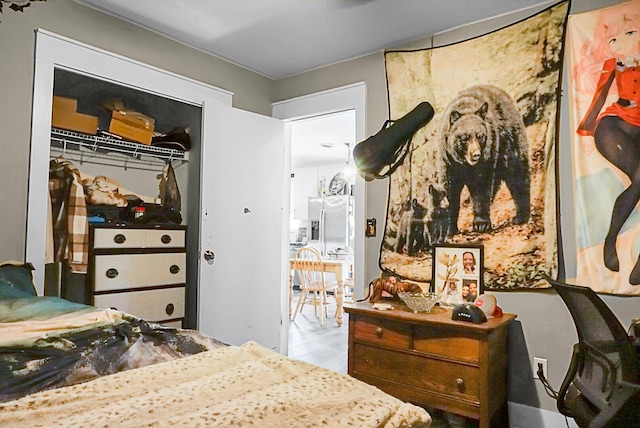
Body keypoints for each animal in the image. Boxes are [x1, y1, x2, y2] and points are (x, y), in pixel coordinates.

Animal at [440, 84, 528, 236]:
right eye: (465, 137)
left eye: (480, 135)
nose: (476, 154)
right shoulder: (449, 161)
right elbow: (450, 189)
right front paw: (450, 228)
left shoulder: (487, 154)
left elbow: (481, 185)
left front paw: (481, 223)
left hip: (510, 140)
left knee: (518, 174)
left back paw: (521, 216)